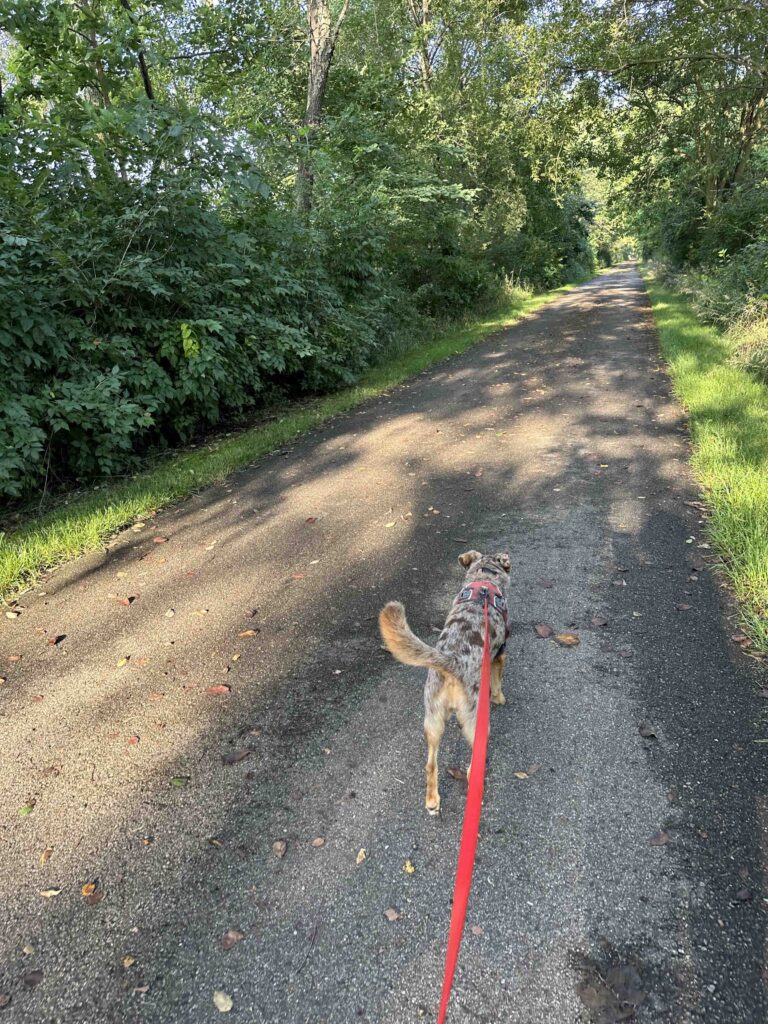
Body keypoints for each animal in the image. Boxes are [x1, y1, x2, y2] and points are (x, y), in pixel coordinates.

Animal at [378, 552, 512, 815]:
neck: (484, 579)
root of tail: (452, 663)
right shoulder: (500, 654)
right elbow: (498, 679)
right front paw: (499, 697)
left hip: (432, 718)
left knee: (431, 765)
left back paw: (432, 800)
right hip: (475, 721)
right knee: (472, 766)